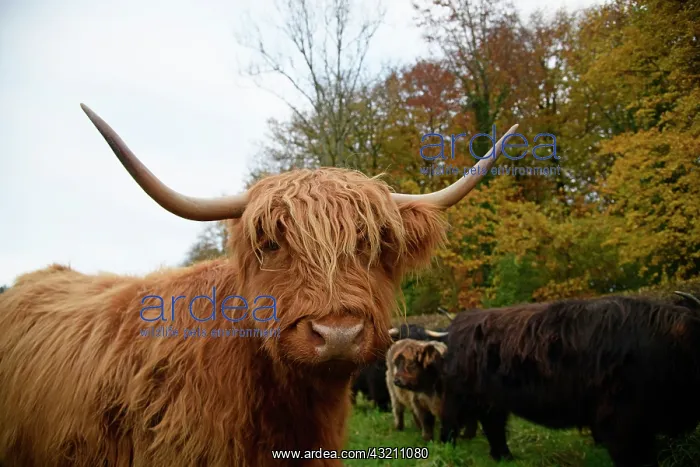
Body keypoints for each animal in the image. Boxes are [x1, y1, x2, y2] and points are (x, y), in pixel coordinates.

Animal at [439, 293, 700, 467]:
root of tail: (456, 325)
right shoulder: (620, 420)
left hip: (492, 400)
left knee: (493, 423)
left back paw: (504, 457)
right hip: (459, 394)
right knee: (450, 420)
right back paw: (447, 448)